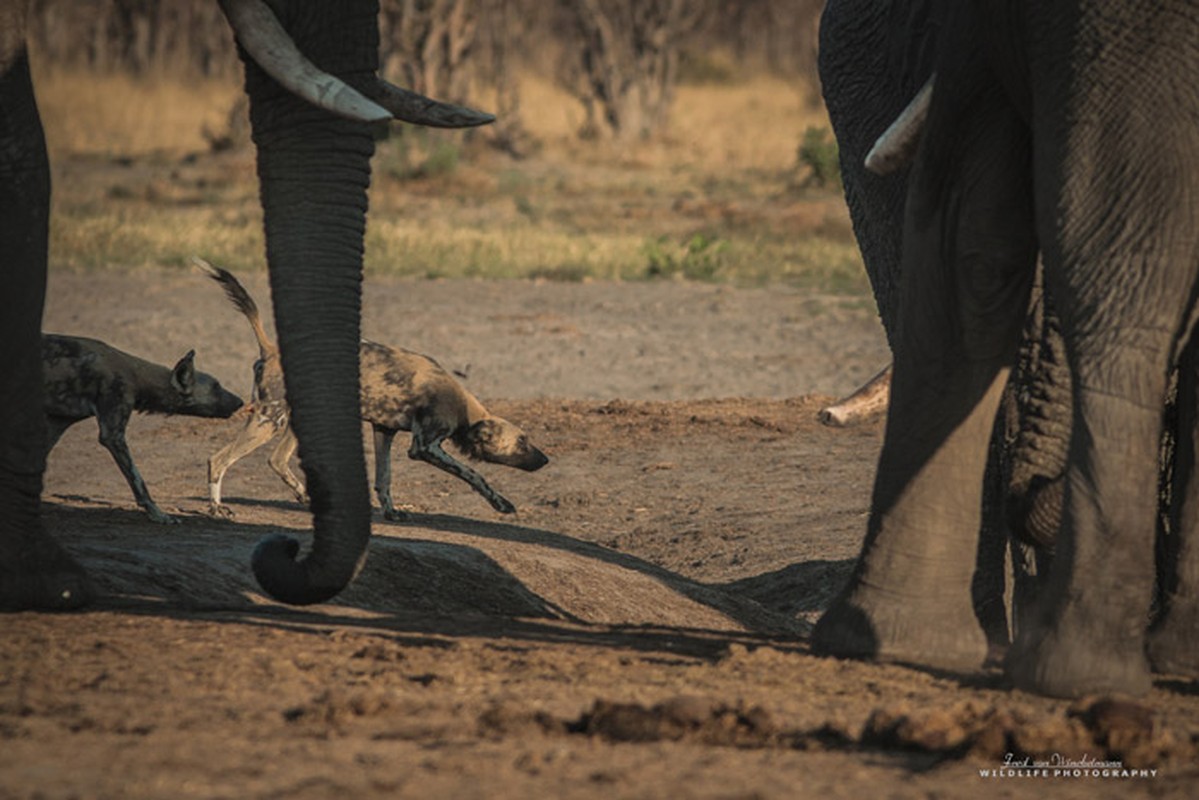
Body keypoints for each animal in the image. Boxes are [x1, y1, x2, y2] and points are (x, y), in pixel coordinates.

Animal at [42, 333, 243, 525]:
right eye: (216, 387)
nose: (240, 401)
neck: (136, 376)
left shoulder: (56, 424)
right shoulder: (112, 435)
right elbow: (138, 481)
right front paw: (158, 515)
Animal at [194, 256, 549, 520]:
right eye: (522, 442)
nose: (545, 459)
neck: (463, 409)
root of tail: (270, 349)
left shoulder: (384, 431)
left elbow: (384, 478)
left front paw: (392, 512)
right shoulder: (425, 447)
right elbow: (474, 475)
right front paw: (501, 504)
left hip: (295, 420)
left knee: (277, 460)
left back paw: (306, 499)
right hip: (269, 421)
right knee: (218, 459)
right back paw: (217, 508)